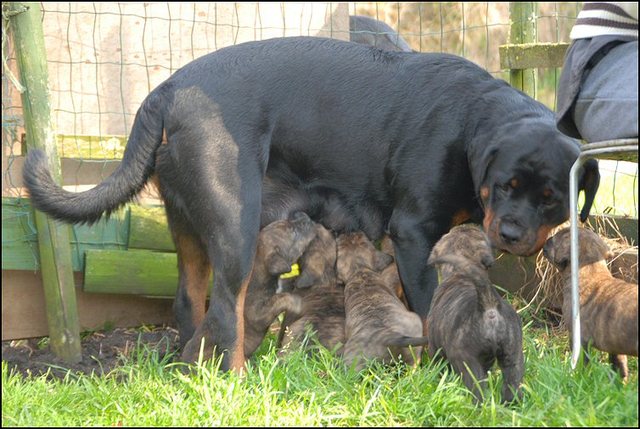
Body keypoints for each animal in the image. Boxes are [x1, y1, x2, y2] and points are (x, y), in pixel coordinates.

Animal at [424, 226, 524, 402]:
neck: (459, 272)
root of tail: (489, 305)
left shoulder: (435, 349)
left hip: (468, 364)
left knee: (478, 392)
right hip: (513, 357)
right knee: (512, 387)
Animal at [544, 226, 636, 380]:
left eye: (554, 239)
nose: (546, 240)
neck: (590, 273)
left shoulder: (578, 339)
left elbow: (582, 363)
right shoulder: (614, 346)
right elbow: (619, 367)